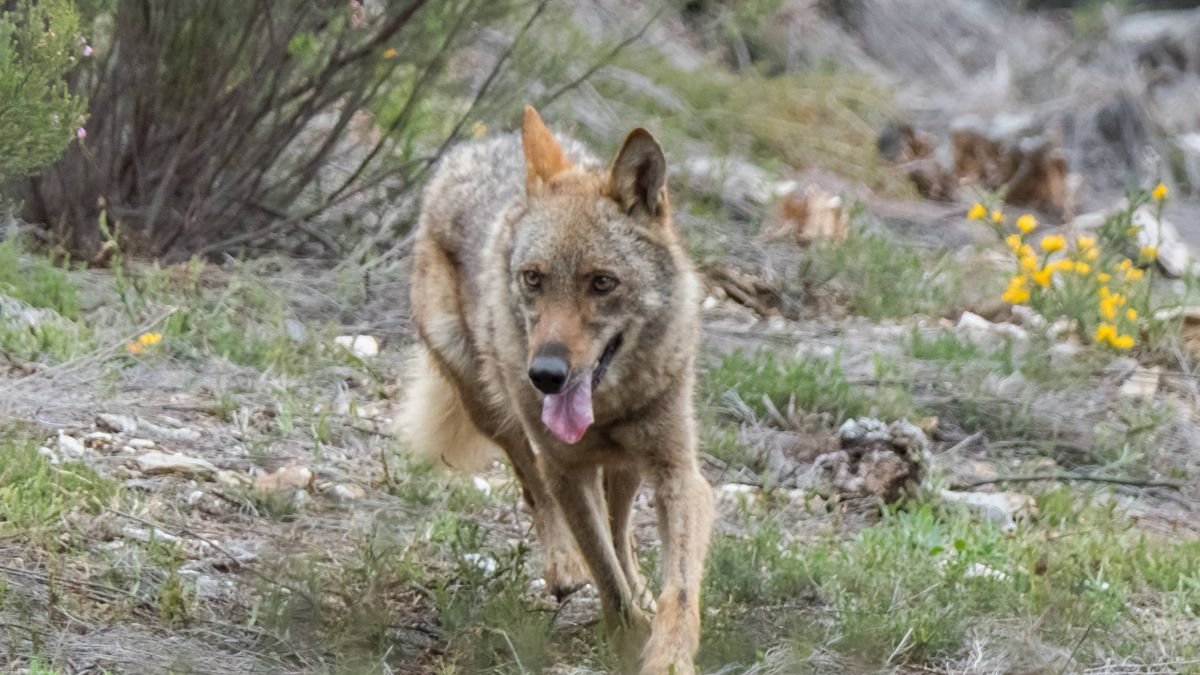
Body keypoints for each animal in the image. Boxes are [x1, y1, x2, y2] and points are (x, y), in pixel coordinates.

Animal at [401, 106, 714, 674]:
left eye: (602, 282)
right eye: (534, 279)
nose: (545, 374)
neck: (609, 407)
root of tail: (479, 147)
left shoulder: (678, 473)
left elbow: (676, 589)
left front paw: (666, 654)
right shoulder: (566, 468)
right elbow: (605, 576)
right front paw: (626, 637)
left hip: (627, 467)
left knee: (620, 531)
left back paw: (638, 588)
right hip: (492, 409)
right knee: (534, 486)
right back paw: (566, 567)